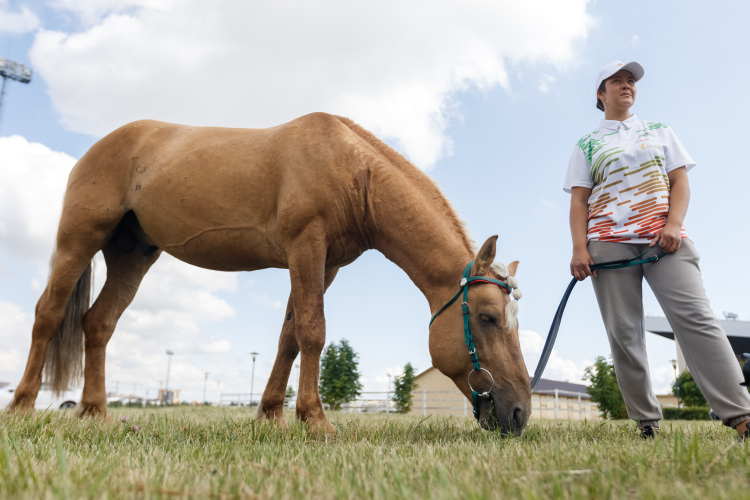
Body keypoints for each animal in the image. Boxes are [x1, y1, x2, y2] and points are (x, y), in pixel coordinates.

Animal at [8, 112, 531, 434]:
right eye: (487, 317)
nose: (520, 412)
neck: (352, 170)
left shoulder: (324, 265)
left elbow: (289, 338)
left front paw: (271, 416)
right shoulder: (306, 248)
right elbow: (314, 331)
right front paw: (315, 419)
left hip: (133, 254)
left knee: (98, 323)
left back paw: (95, 412)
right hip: (78, 241)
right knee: (48, 313)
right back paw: (21, 405)